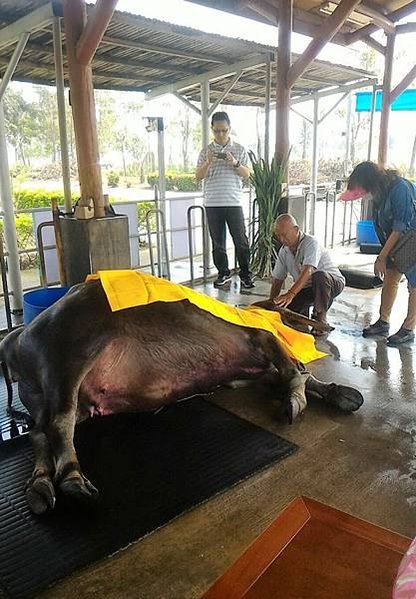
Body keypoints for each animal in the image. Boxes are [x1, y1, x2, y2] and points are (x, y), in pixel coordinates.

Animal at [0, 278, 362, 512]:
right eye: (293, 310)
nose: (327, 325)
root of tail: (18, 338)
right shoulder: (260, 338)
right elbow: (295, 372)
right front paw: (295, 403)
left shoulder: (245, 375)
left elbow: (294, 375)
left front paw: (344, 395)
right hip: (68, 355)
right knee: (59, 423)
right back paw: (74, 481)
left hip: (56, 395)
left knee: (39, 432)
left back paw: (40, 490)